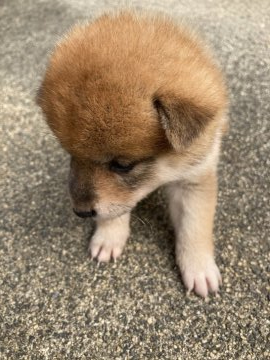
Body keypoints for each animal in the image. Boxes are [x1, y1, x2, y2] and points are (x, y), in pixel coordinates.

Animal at [37, 11, 228, 298]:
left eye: (123, 165)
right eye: (70, 154)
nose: (80, 212)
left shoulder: (195, 179)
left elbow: (194, 227)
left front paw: (199, 268)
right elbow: (116, 207)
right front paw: (109, 236)